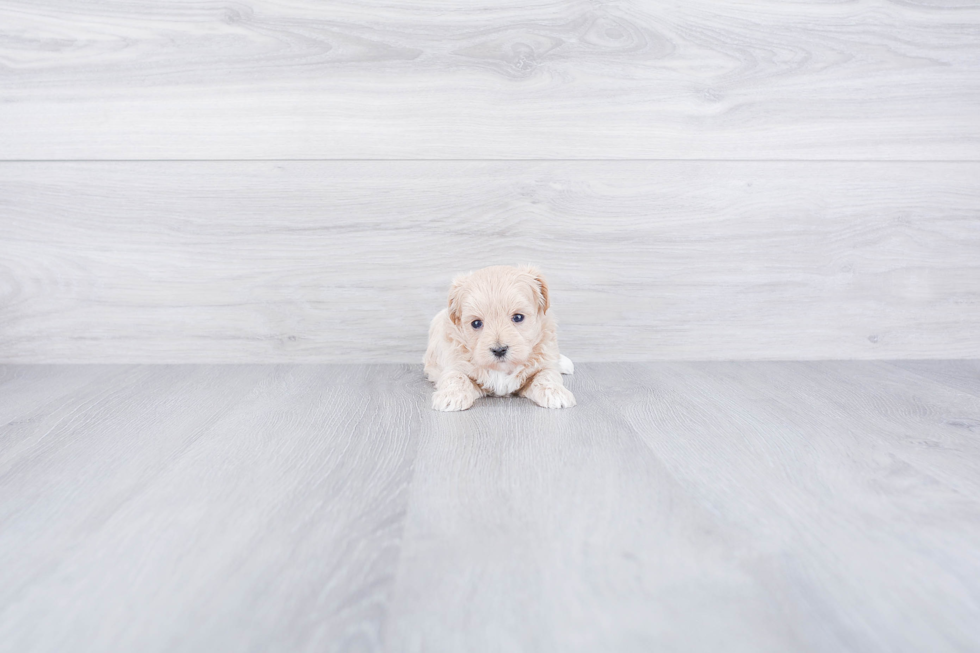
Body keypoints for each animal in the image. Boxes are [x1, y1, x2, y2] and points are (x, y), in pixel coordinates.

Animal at [422, 264, 576, 408]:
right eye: (476, 323)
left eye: (518, 317)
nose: (499, 350)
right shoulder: (455, 362)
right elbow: (455, 376)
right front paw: (451, 395)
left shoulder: (543, 362)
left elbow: (547, 374)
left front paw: (555, 393)